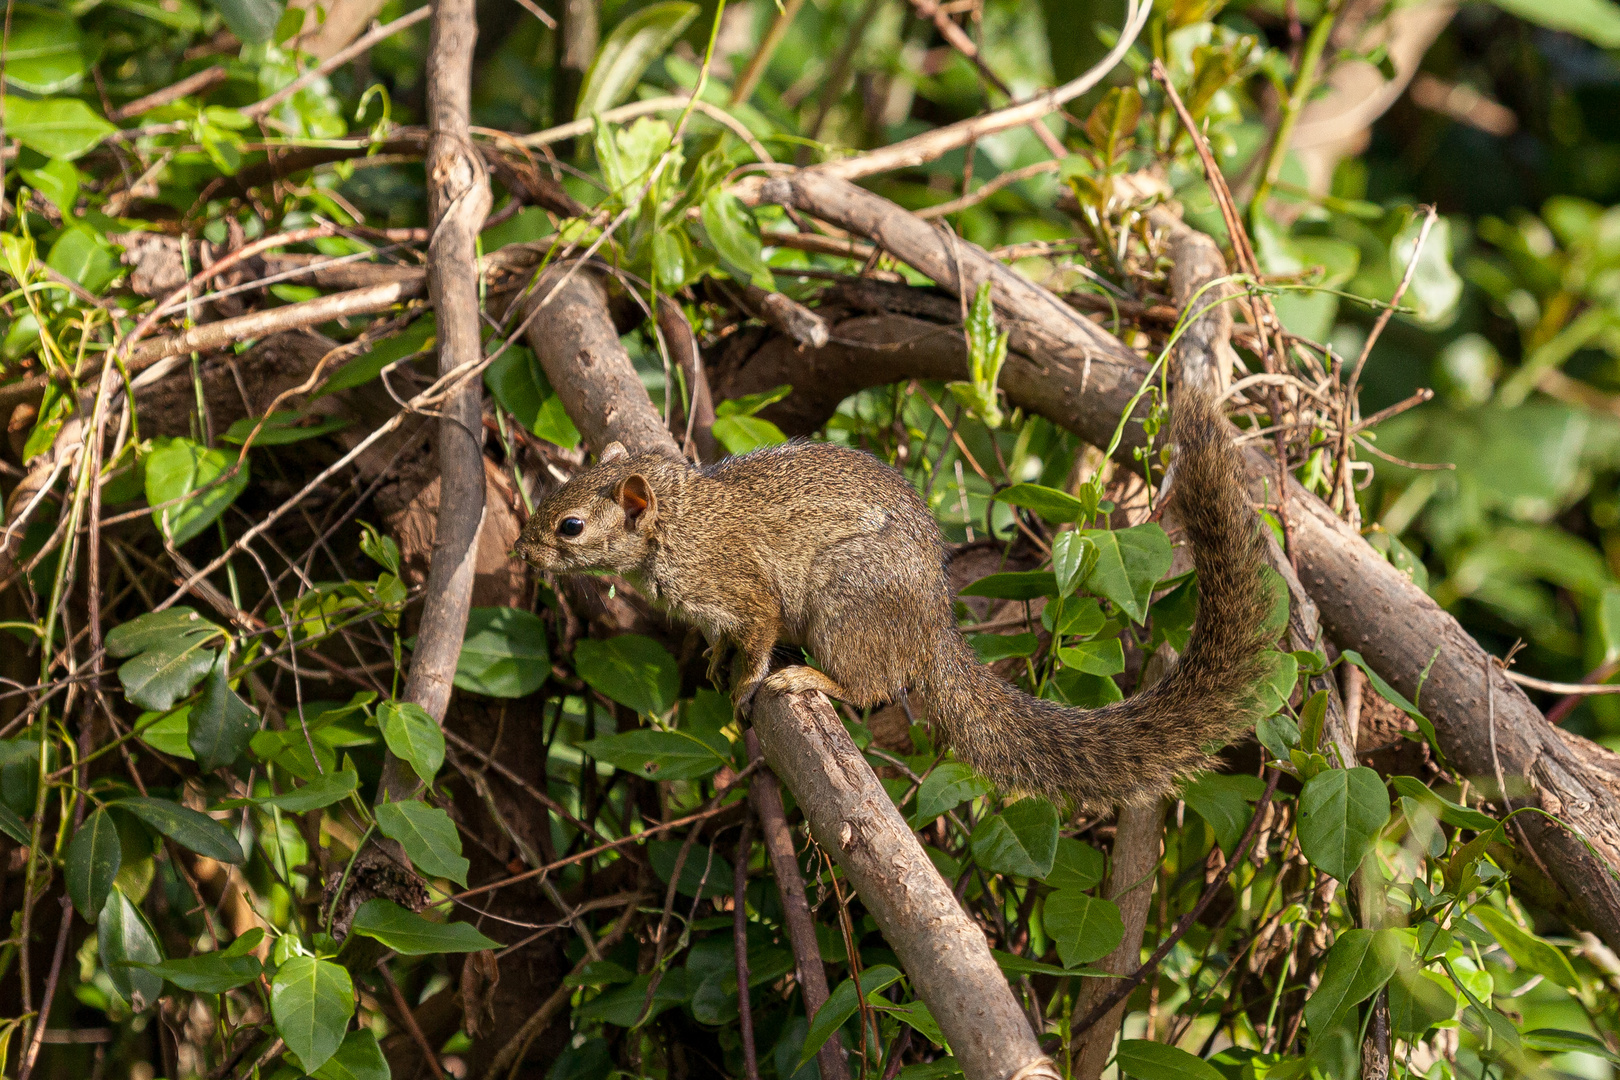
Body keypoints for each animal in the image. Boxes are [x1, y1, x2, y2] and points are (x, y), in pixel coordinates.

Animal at [511, 390, 1270, 809]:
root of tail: (933, 625)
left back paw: (810, 678)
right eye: (555, 494)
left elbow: (756, 633)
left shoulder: (740, 585)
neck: (677, 524)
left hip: (848, 603)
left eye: (570, 525)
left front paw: (746, 679)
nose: (522, 550)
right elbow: (722, 638)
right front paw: (712, 656)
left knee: (871, 685)